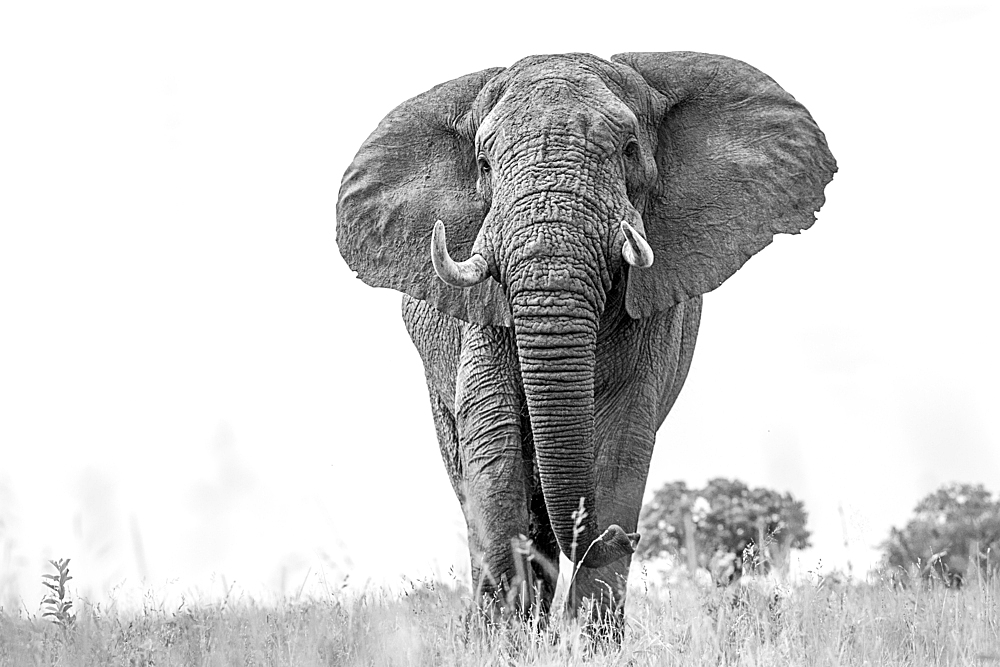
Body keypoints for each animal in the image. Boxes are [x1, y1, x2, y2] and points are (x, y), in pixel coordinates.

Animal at [336, 53, 836, 628]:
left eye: (630, 149)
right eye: (483, 165)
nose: (625, 536)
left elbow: (622, 438)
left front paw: (588, 634)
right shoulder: (482, 309)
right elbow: (492, 438)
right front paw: (505, 633)